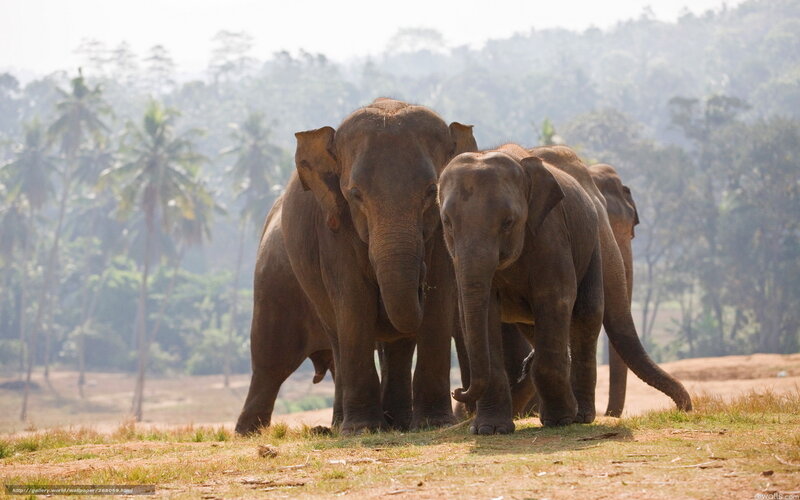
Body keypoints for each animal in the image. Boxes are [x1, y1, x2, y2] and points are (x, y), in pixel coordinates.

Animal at [279, 98, 477, 434]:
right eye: (355, 194)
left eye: (431, 191)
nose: (459, 392)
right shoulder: (335, 227)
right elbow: (354, 304)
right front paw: (362, 429)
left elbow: (438, 303)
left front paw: (433, 423)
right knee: (337, 337)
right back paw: (342, 425)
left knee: (400, 344)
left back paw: (400, 423)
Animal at [438, 143, 692, 435]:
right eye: (447, 222)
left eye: (508, 222)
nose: (457, 391)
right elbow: (481, 310)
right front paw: (489, 430)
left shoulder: (552, 233)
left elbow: (556, 296)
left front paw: (559, 421)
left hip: (590, 248)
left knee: (586, 313)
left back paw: (580, 415)